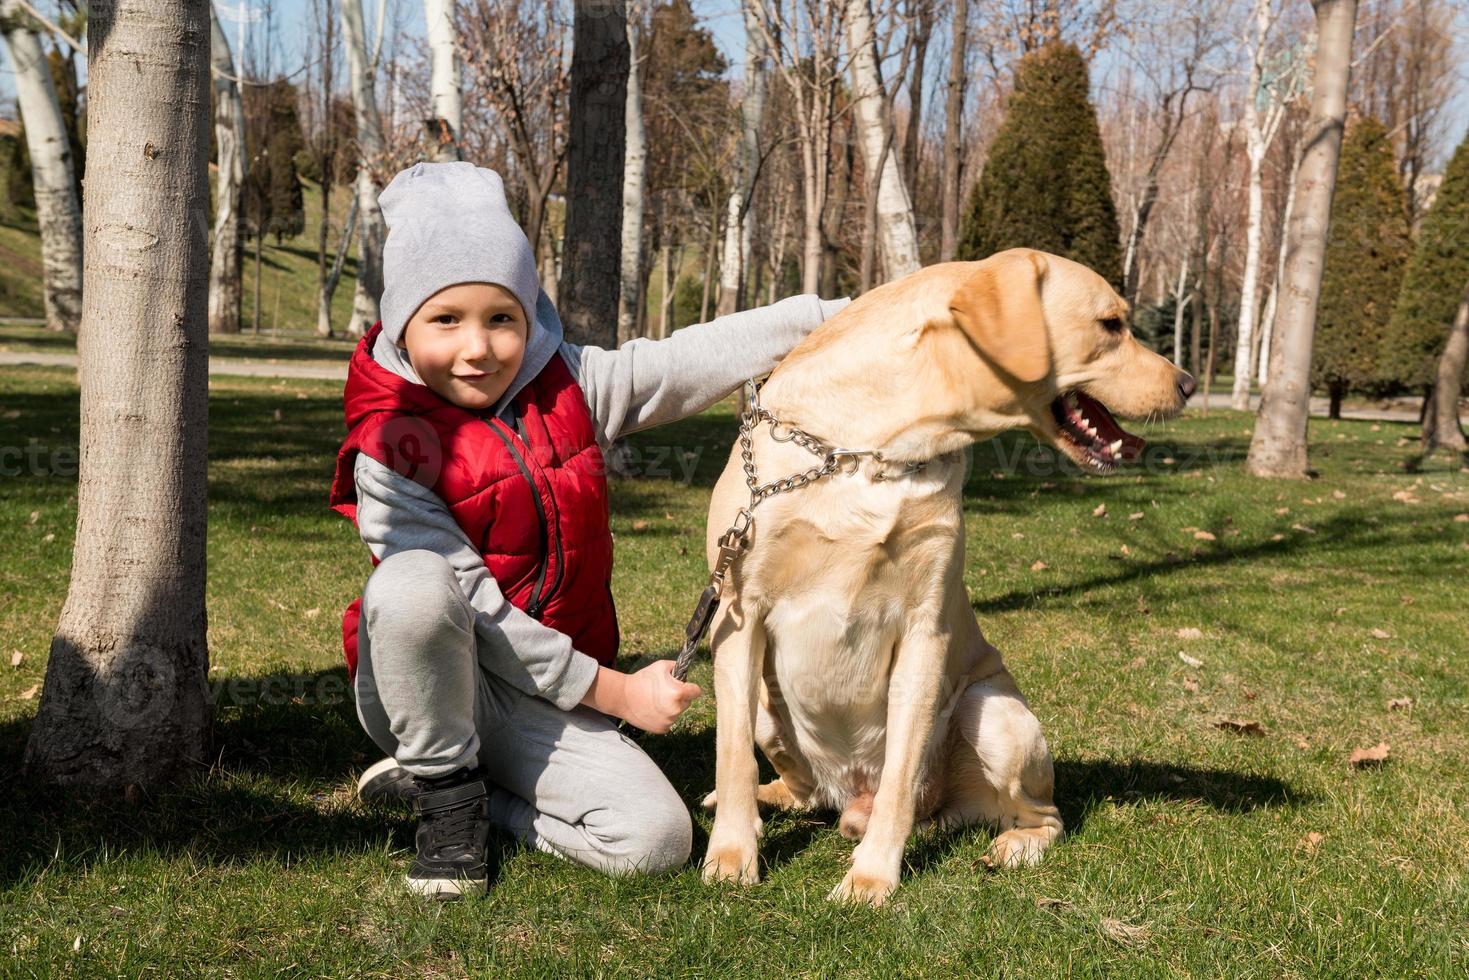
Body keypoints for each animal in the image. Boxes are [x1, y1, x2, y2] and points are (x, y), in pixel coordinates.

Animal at [699, 249, 1192, 910]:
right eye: (1112, 325)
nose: (1189, 384)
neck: (867, 451)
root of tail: (845, 794)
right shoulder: (736, 615)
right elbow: (732, 762)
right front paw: (731, 856)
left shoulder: (924, 629)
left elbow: (900, 779)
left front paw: (870, 878)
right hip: (757, 699)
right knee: (795, 787)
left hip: (996, 713)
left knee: (1040, 814)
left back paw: (1010, 846)